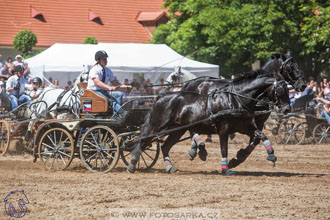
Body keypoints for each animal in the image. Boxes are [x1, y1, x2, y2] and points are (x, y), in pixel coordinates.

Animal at [127, 69, 290, 176]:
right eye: (281, 90)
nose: (287, 109)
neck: (236, 99)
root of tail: (159, 97)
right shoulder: (224, 129)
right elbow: (224, 149)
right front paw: (226, 169)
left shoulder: (245, 126)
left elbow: (261, 136)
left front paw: (271, 156)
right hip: (157, 127)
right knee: (142, 141)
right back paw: (132, 164)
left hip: (177, 130)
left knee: (164, 146)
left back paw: (170, 167)